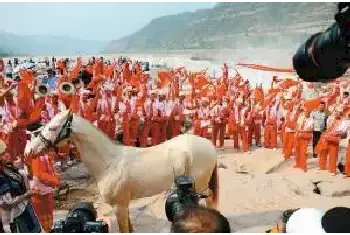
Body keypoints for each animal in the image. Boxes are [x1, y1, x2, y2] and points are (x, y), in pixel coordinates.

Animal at [25, 111, 219, 232]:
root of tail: (208, 144)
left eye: (52, 127)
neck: (109, 162)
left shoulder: (119, 207)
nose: (29, 151)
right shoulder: (124, 206)